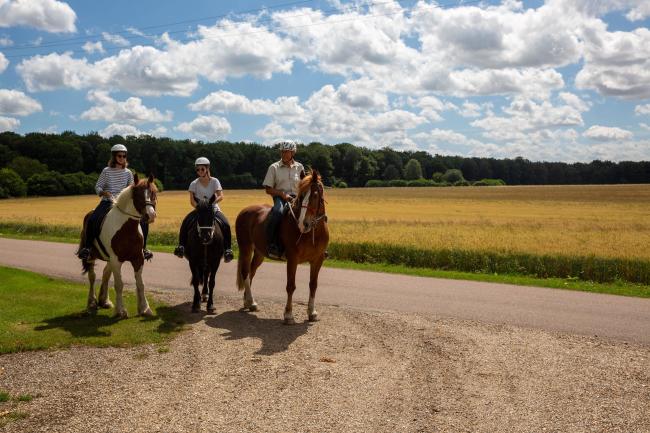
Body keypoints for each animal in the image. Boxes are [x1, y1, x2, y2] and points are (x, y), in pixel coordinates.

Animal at [77, 172, 158, 318]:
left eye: (154, 193)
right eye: (137, 195)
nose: (150, 215)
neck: (126, 228)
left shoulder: (138, 259)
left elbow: (140, 284)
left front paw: (145, 308)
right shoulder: (116, 260)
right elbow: (119, 284)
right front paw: (121, 310)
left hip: (109, 259)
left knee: (105, 274)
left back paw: (105, 301)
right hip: (91, 256)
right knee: (92, 277)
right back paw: (92, 303)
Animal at [234, 169, 330, 324]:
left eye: (315, 195)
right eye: (301, 196)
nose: (304, 224)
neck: (312, 232)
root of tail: (245, 211)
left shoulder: (317, 260)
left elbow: (313, 285)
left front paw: (312, 312)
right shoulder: (292, 259)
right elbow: (291, 286)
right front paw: (288, 314)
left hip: (259, 253)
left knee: (251, 272)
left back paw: (248, 302)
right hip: (246, 248)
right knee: (245, 273)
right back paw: (251, 301)